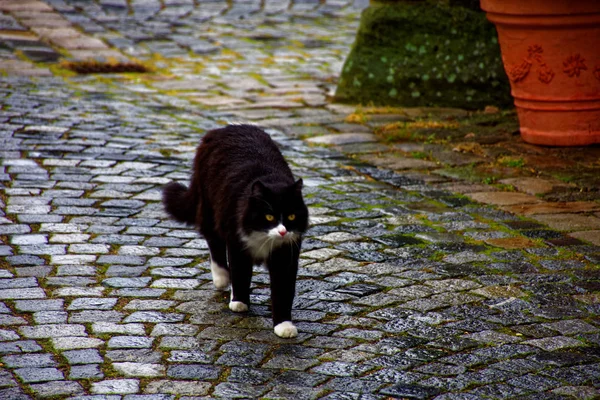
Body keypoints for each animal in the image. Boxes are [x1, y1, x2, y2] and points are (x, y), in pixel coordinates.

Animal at [162, 124, 308, 338]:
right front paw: (239, 302)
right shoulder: (237, 242)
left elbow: (282, 291)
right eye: (269, 217)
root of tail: (222, 129)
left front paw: (284, 325)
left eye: (291, 217)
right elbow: (240, 272)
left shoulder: (286, 253)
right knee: (214, 242)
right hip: (210, 209)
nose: (282, 232)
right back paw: (222, 278)